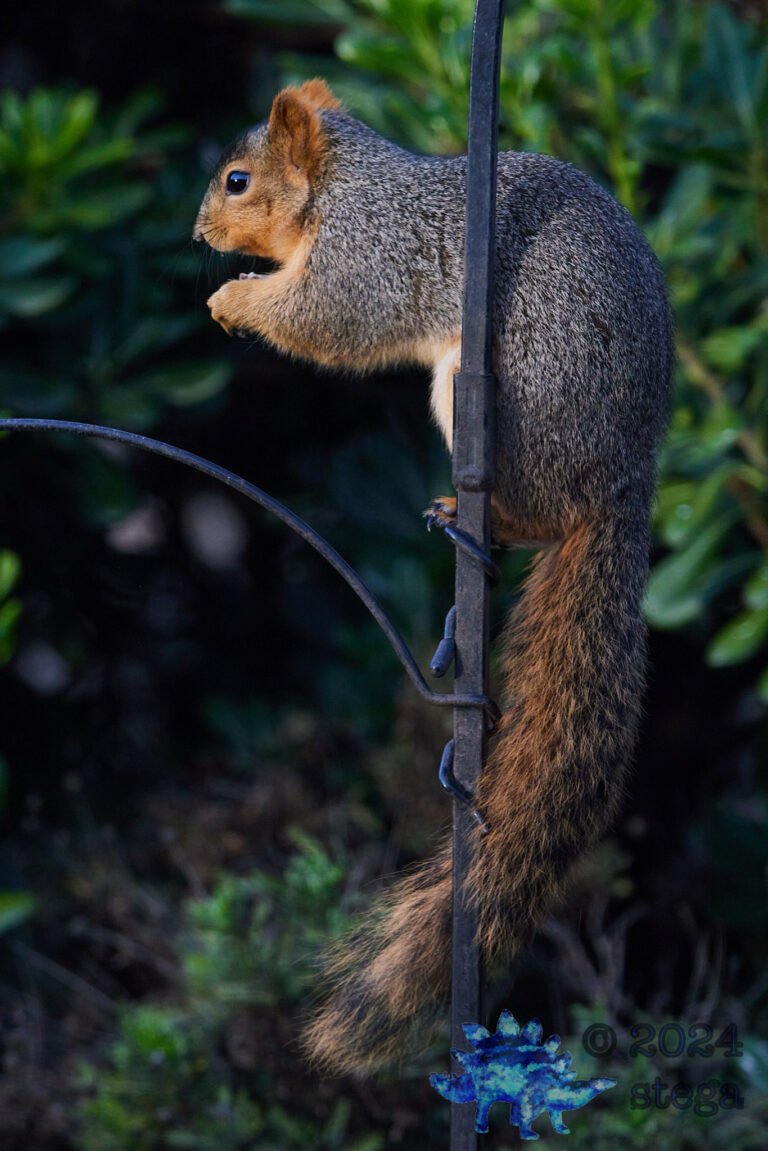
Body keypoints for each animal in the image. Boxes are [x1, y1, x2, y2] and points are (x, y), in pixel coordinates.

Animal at [194, 78, 673, 1076]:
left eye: (237, 180)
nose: (198, 232)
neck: (345, 186)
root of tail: (625, 479)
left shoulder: (367, 255)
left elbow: (327, 317)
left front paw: (237, 299)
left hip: (503, 384)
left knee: (543, 512)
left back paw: (475, 514)